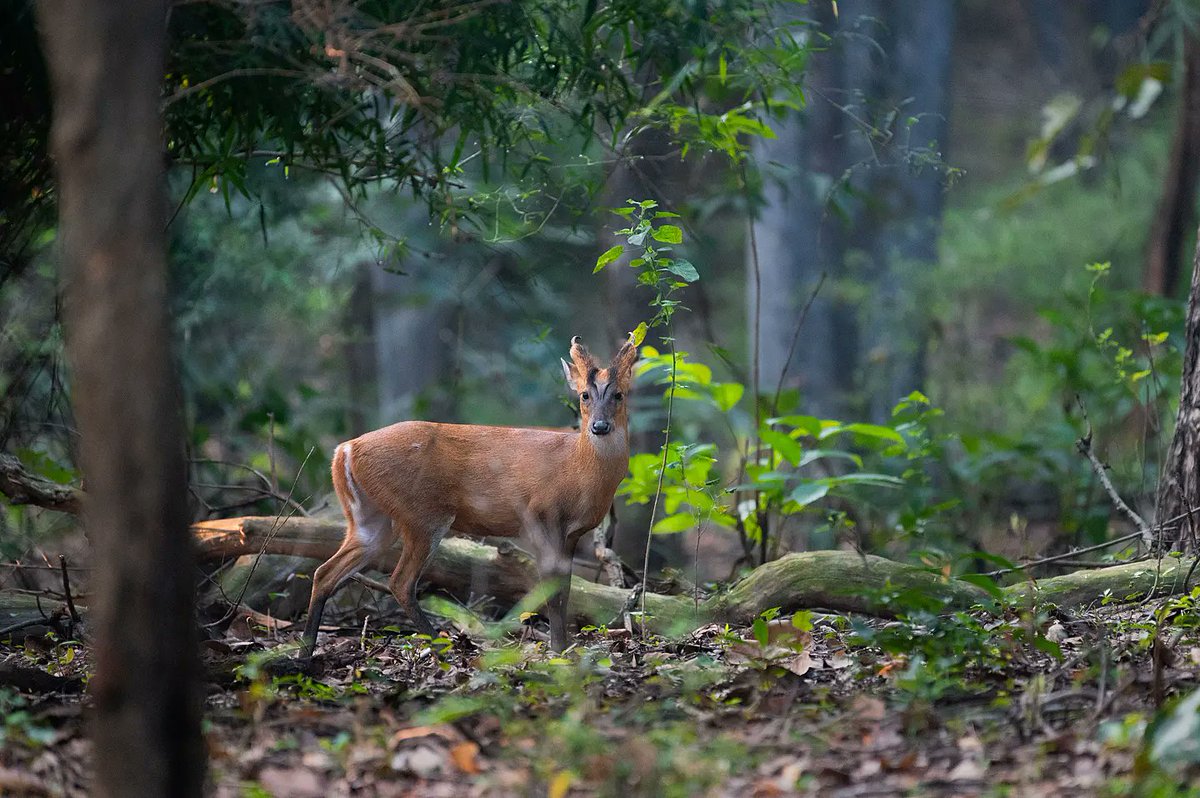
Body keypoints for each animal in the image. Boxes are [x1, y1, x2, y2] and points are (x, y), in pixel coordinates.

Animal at [300, 334, 637, 657]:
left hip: (371, 519)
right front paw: (558, 650)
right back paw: (441, 644)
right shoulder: (542, 515)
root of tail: (345, 450)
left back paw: (305, 653)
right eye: (584, 395)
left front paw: (563, 646)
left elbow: (565, 590)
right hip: (423, 513)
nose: (600, 426)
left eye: (619, 394)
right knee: (400, 581)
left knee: (324, 572)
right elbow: (551, 592)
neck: (577, 470)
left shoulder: (571, 533)